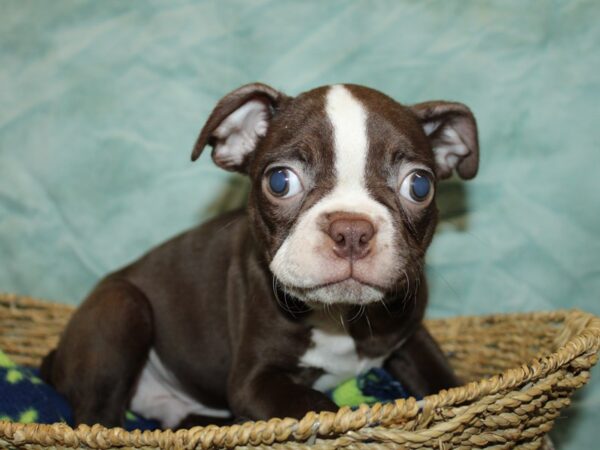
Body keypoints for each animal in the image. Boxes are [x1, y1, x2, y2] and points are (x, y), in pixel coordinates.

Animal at [39, 81, 478, 428]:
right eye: (280, 181)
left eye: (419, 186)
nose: (351, 230)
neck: (341, 317)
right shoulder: (253, 383)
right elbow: (323, 407)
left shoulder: (411, 334)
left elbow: (445, 381)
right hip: (123, 306)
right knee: (98, 418)